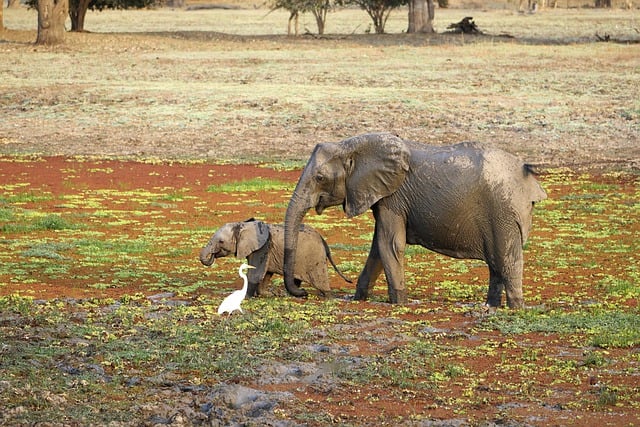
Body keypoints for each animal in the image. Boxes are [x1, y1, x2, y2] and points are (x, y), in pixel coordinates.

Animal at [199, 218, 351, 297]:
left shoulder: (263, 247)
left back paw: (325, 296)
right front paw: (266, 295)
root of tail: (323, 240)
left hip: (315, 258)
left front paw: (246, 297)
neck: (243, 225)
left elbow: (256, 273)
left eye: (221, 242)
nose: (213, 255)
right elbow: (266, 273)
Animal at [283, 132, 547, 308]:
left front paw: (399, 303)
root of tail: (529, 178)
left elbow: (389, 244)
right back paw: (491, 306)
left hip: (504, 211)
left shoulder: (393, 197)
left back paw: (515, 309)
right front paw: (358, 298)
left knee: (507, 260)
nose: (302, 291)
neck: (352, 146)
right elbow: (377, 248)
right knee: (496, 263)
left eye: (319, 178)